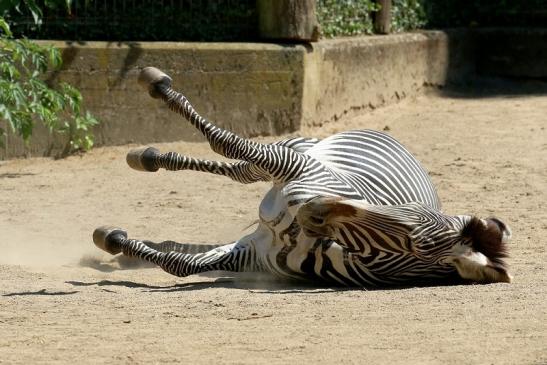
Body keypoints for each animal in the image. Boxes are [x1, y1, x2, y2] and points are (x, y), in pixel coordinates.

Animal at [91, 67, 512, 286]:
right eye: (407, 209)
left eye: (415, 243)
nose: (311, 209)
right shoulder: (296, 166)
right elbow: (224, 142)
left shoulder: (253, 254)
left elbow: (181, 264)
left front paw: (116, 240)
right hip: (298, 148)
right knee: (238, 166)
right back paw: (148, 149)